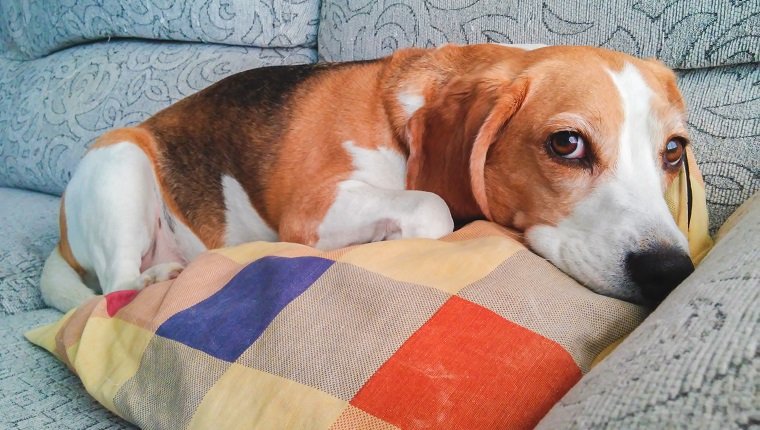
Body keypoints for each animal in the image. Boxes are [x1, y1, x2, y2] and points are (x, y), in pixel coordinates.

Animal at [40, 44, 696, 312]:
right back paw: (158, 278)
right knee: (116, 287)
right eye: (566, 144)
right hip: (118, 166)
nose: (671, 273)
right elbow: (432, 204)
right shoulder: (314, 207)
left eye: (673, 152)